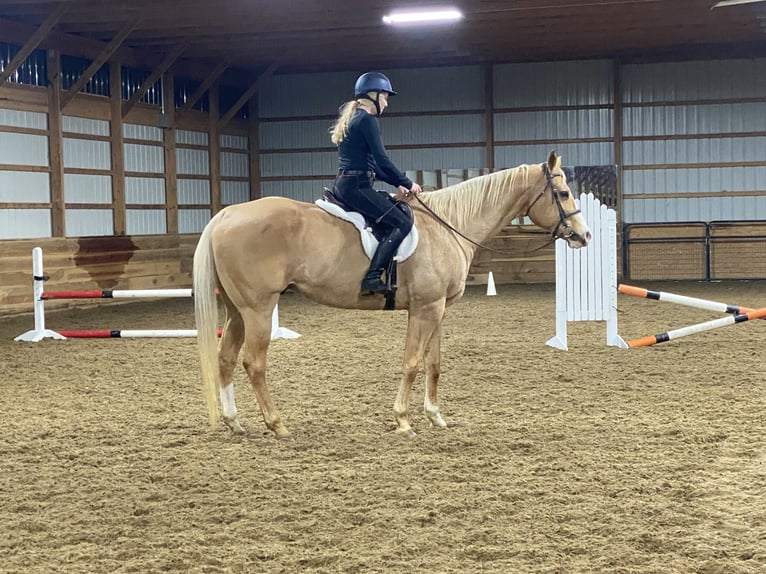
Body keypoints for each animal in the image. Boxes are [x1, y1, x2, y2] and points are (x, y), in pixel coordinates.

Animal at [194, 150, 592, 440]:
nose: (584, 235)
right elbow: (412, 362)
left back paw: (234, 422)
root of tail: (226, 215)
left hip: (237, 311)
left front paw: (435, 416)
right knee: (253, 363)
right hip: (259, 309)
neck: (449, 225)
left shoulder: (438, 309)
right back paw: (277, 425)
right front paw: (403, 420)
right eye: (562, 193)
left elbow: (434, 363)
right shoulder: (424, 308)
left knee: (226, 358)